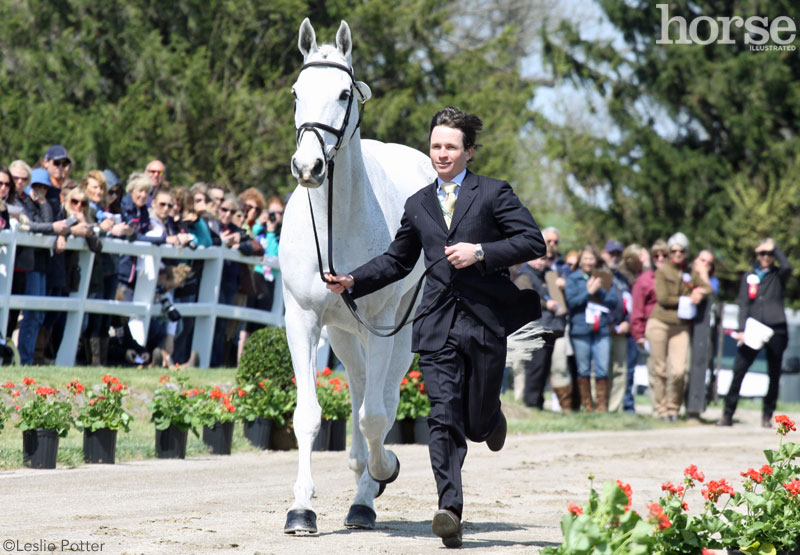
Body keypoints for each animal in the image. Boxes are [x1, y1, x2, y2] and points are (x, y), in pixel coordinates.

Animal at [278, 18, 434, 536]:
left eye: (344, 93)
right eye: (296, 92)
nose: (308, 167)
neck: (335, 225)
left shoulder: (382, 322)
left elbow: (375, 418)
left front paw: (381, 475)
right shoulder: (303, 319)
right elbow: (308, 416)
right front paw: (301, 509)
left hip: (397, 333)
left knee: (381, 400)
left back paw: (369, 489)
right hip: (345, 334)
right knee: (362, 384)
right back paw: (358, 468)